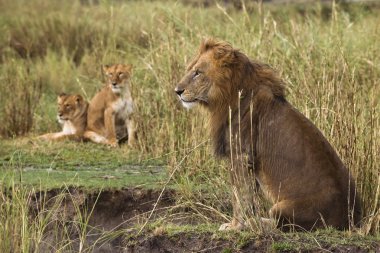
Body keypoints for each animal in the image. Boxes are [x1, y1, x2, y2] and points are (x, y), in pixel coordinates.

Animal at [175, 39, 362, 231]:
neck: (227, 96)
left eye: (198, 73)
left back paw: (254, 223)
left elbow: (239, 196)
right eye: (191, 70)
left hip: (282, 208)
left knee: (280, 224)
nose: (177, 91)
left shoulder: (241, 155)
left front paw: (235, 226)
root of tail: (351, 219)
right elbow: (247, 196)